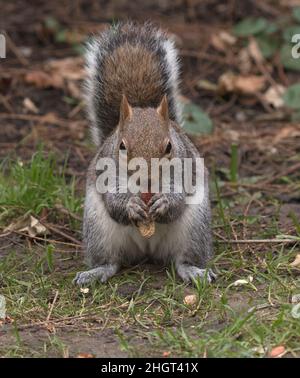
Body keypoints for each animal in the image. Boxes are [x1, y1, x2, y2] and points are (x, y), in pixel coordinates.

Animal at [74, 20, 216, 284]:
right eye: (121, 146)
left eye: (169, 147)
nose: (147, 179)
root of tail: (147, 250)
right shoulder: (106, 172)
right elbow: (114, 198)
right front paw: (130, 206)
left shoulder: (185, 166)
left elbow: (180, 193)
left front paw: (166, 202)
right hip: (99, 231)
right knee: (111, 261)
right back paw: (95, 272)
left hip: (194, 229)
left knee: (182, 260)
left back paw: (194, 271)